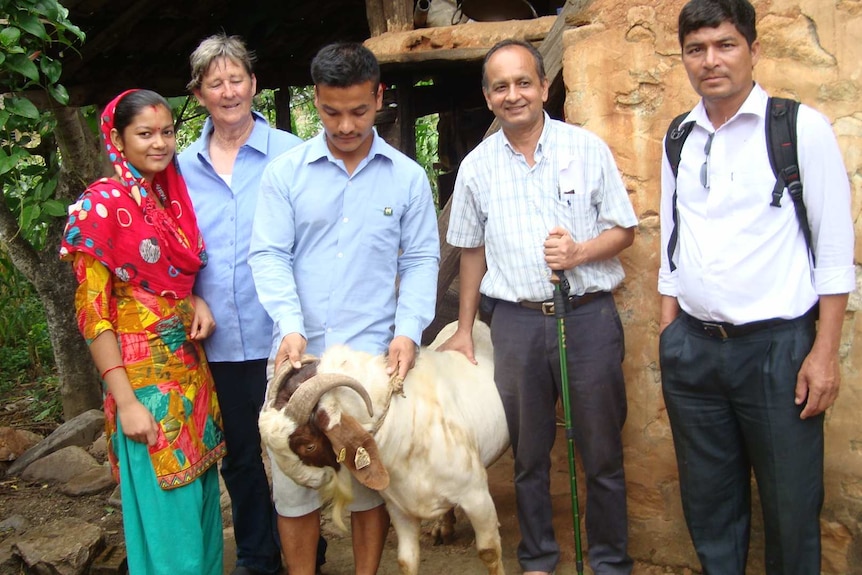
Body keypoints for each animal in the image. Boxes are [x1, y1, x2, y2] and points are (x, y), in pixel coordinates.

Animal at [260, 322, 510, 572]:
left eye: (309, 446)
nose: (309, 482)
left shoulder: (476, 496)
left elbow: (488, 552)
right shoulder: (398, 507)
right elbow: (406, 561)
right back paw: (443, 527)